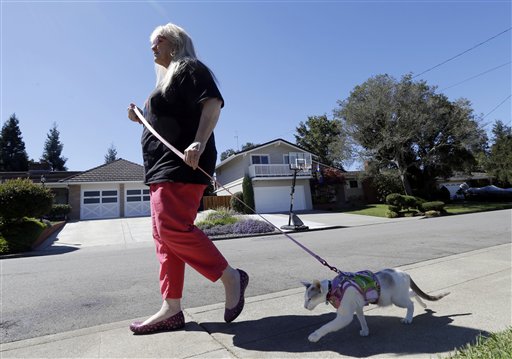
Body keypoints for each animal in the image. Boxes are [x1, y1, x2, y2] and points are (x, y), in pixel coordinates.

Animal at [302, 270, 450, 344]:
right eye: (305, 299)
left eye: (309, 299)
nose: (304, 306)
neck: (333, 288)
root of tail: (405, 273)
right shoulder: (357, 307)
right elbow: (362, 320)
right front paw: (365, 331)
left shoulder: (345, 316)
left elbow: (326, 327)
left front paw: (314, 335)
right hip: (399, 296)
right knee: (412, 293)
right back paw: (424, 305)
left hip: (397, 299)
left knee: (410, 303)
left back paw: (408, 318)